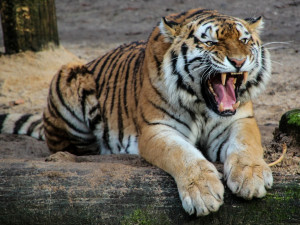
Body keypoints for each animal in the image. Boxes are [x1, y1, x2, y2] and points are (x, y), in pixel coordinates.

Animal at [0, 8, 274, 216]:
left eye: (244, 40)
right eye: (210, 42)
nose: (238, 61)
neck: (202, 105)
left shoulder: (240, 120)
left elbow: (246, 145)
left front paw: (251, 177)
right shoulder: (157, 129)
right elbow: (183, 155)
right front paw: (203, 192)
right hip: (69, 73)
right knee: (70, 148)